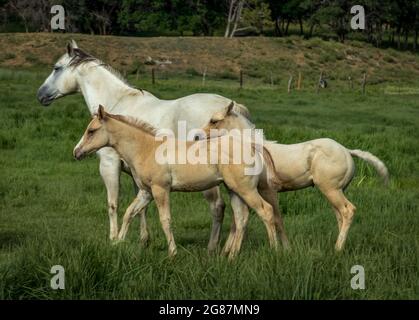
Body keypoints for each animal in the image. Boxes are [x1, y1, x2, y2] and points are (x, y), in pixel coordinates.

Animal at [36, 40, 251, 250]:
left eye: (56, 68)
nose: (40, 95)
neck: (116, 105)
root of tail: (235, 110)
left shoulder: (109, 165)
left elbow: (113, 203)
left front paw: (113, 239)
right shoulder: (137, 176)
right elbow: (140, 208)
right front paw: (143, 240)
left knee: (219, 208)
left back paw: (213, 249)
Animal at [74, 106, 280, 258]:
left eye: (91, 131)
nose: (76, 152)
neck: (147, 148)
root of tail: (252, 146)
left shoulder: (160, 190)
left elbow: (165, 220)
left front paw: (172, 253)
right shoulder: (146, 192)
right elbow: (130, 213)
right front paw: (118, 243)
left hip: (245, 190)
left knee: (266, 211)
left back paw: (274, 250)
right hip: (234, 190)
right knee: (241, 217)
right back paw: (231, 256)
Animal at [204, 104, 390, 251]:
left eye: (214, 120)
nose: (199, 136)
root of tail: (347, 151)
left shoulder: (267, 190)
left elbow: (276, 219)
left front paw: (285, 249)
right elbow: (239, 221)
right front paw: (225, 252)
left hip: (330, 190)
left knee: (348, 211)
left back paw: (337, 249)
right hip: (337, 191)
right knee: (340, 215)